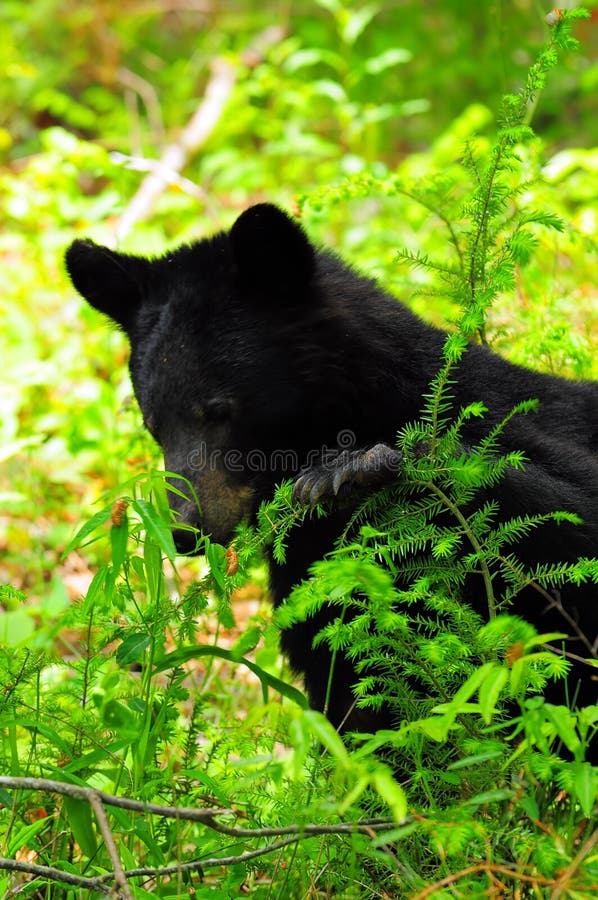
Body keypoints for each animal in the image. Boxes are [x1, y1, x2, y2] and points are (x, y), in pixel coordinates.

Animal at [67, 206, 598, 744]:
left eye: (217, 409)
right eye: (153, 424)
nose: (184, 529)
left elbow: (573, 517)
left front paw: (353, 468)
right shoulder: (309, 565)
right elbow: (343, 676)